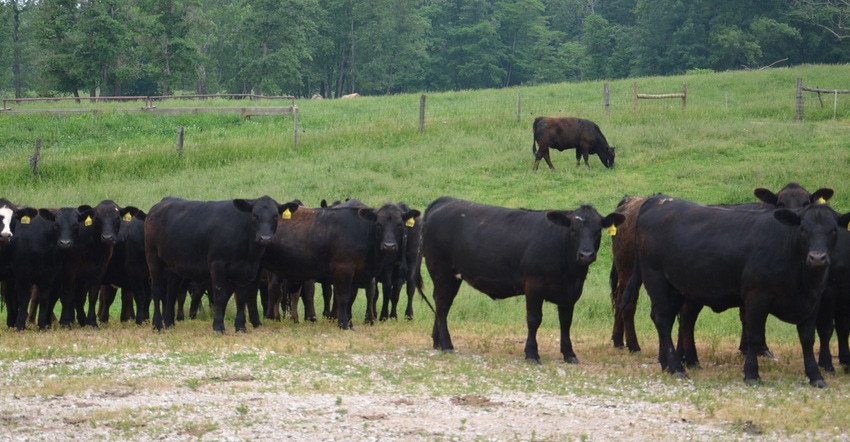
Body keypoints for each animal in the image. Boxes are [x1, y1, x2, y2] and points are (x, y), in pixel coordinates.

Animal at [147, 195, 300, 334]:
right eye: (255, 216)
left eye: (275, 216)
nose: (265, 238)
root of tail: (161, 203)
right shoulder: (217, 265)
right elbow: (220, 295)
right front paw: (219, 327)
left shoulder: (246, 270)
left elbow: (242, 297)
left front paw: (240, 326)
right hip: (153, 258)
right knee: (157, 290)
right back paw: (157, 325)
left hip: (174, 265)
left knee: (171, 291)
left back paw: (169, 323)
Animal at [260, 200, 416, 328]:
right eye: (379, 224)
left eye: (400, 225)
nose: (389, 246)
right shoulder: (343, 268)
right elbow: (343, 296)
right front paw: (343, 324)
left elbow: (352, 297)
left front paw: (349, 321)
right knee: (274, 290)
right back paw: (271, 318)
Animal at [422, 197, 624, 362]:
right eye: (573, 230)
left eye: (598, 230)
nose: (586, 255)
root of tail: (445, 200)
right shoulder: (534, 285)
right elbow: (534, 319)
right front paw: (532, 353)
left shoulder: (570, 293)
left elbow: (566, 322)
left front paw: (569, 354)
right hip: (440, 269)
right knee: (442, 304)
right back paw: (447, 345)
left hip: (453, 276)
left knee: (443, 304)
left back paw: (438, 341)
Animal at [624, 195, 848, 386]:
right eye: (803, 228)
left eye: (833, 230)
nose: (817, 258)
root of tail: (658, 199)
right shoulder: (757, 296)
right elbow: (754, 335)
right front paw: (751, 374)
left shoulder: (813, 300)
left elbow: (808, 338)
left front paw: (815, 376)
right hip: (656, 280)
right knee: (663, 320)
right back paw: (677, 368)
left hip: (680, 288)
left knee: (675, 320)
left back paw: (669, 364)